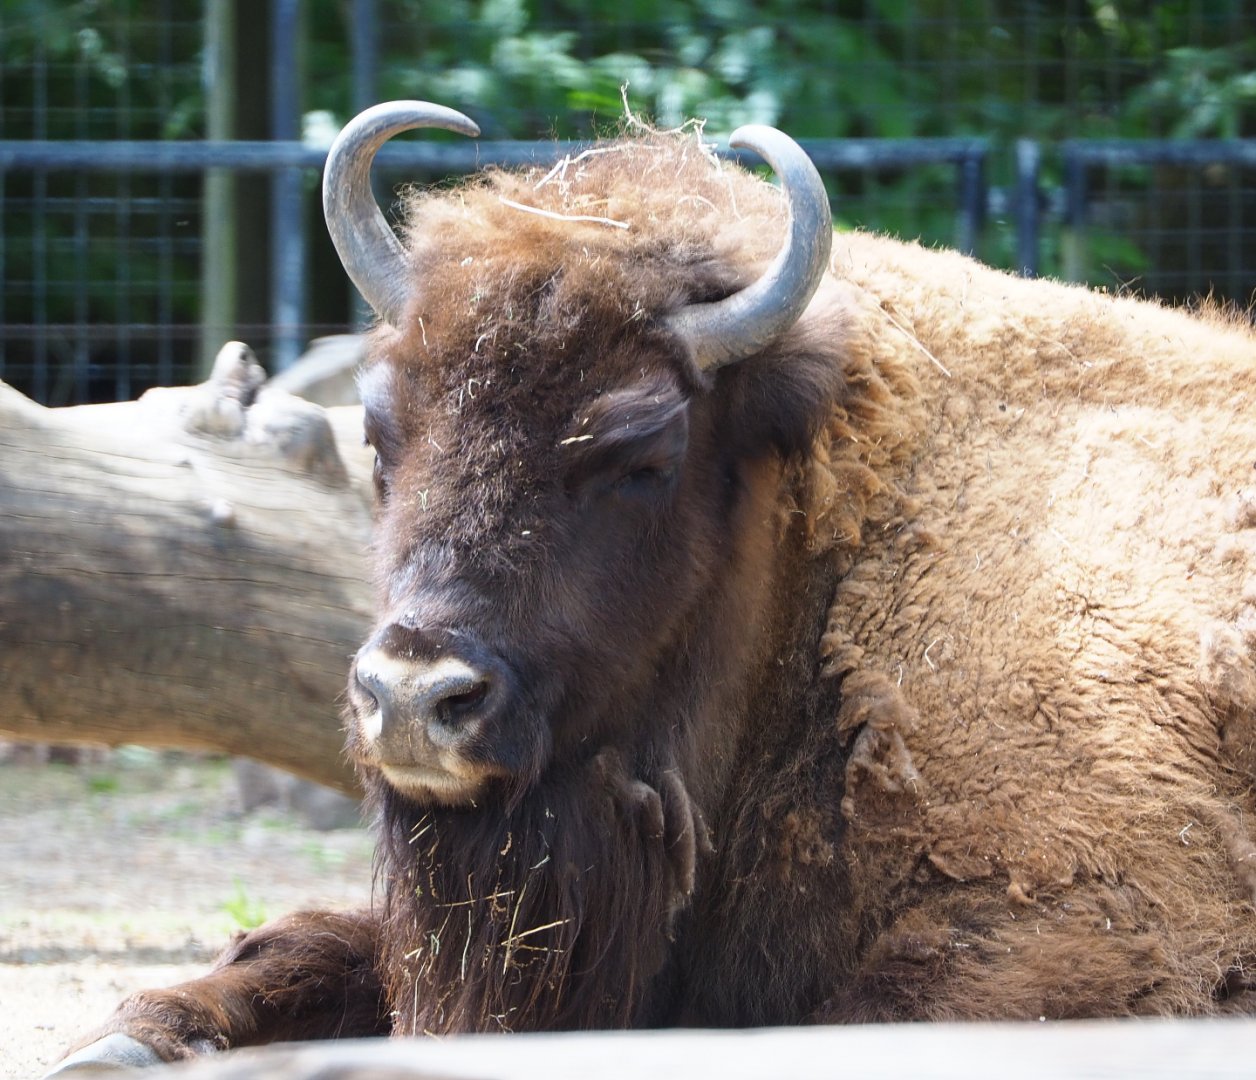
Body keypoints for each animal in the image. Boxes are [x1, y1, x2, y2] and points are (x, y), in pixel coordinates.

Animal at [58, 100, 1256, 1067]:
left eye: (641, 451)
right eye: (378, 426)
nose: (412, 699)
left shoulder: (1093, 920)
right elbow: (308, 942)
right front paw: (127, 1041)